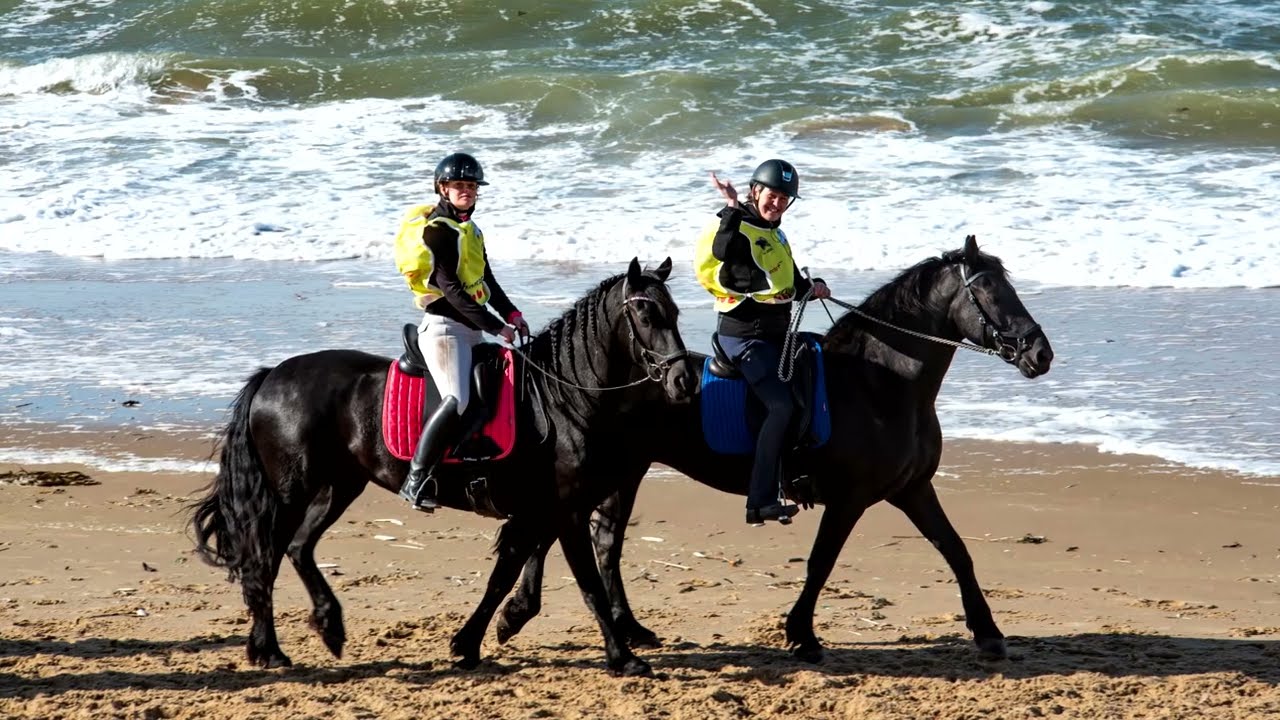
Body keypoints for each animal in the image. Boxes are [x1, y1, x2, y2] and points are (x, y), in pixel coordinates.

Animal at [189, 257, 697, 676]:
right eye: (646, 316)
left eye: (674, 314)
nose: (684, 380)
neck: (559, 399)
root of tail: (271, 376)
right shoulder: (566, 512)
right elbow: (588, 584)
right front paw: (623, 658)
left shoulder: (541, 511)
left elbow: (505, 574)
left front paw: (471, 642)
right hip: (291, 491)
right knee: (265, 559)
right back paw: (270, 649)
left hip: (339, 486)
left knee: (297, 548)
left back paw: (326, 629)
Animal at [492, 235, 1055, 663]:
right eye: (990, 291)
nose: (1040, 353)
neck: (879, 382)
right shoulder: (850, 499)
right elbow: (821, 562)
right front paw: (801, 634)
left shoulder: (914, 489)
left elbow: (956, 550)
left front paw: (988, 632)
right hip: (612, 471)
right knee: (568, 532)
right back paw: (521, 615)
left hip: (623, 472)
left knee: (599, 540)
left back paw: (617, 626)